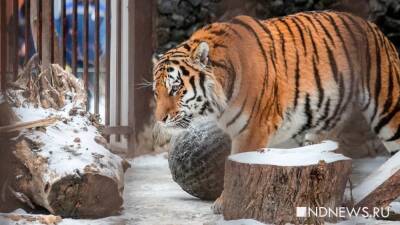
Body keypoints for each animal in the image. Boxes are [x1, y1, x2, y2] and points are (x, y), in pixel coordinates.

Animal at [151, 11, 400, 213]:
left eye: (176, 88)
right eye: (156, 92)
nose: (160, 120)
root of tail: (374, 27)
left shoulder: (252, 130)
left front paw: (224, 203)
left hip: (389, 110)